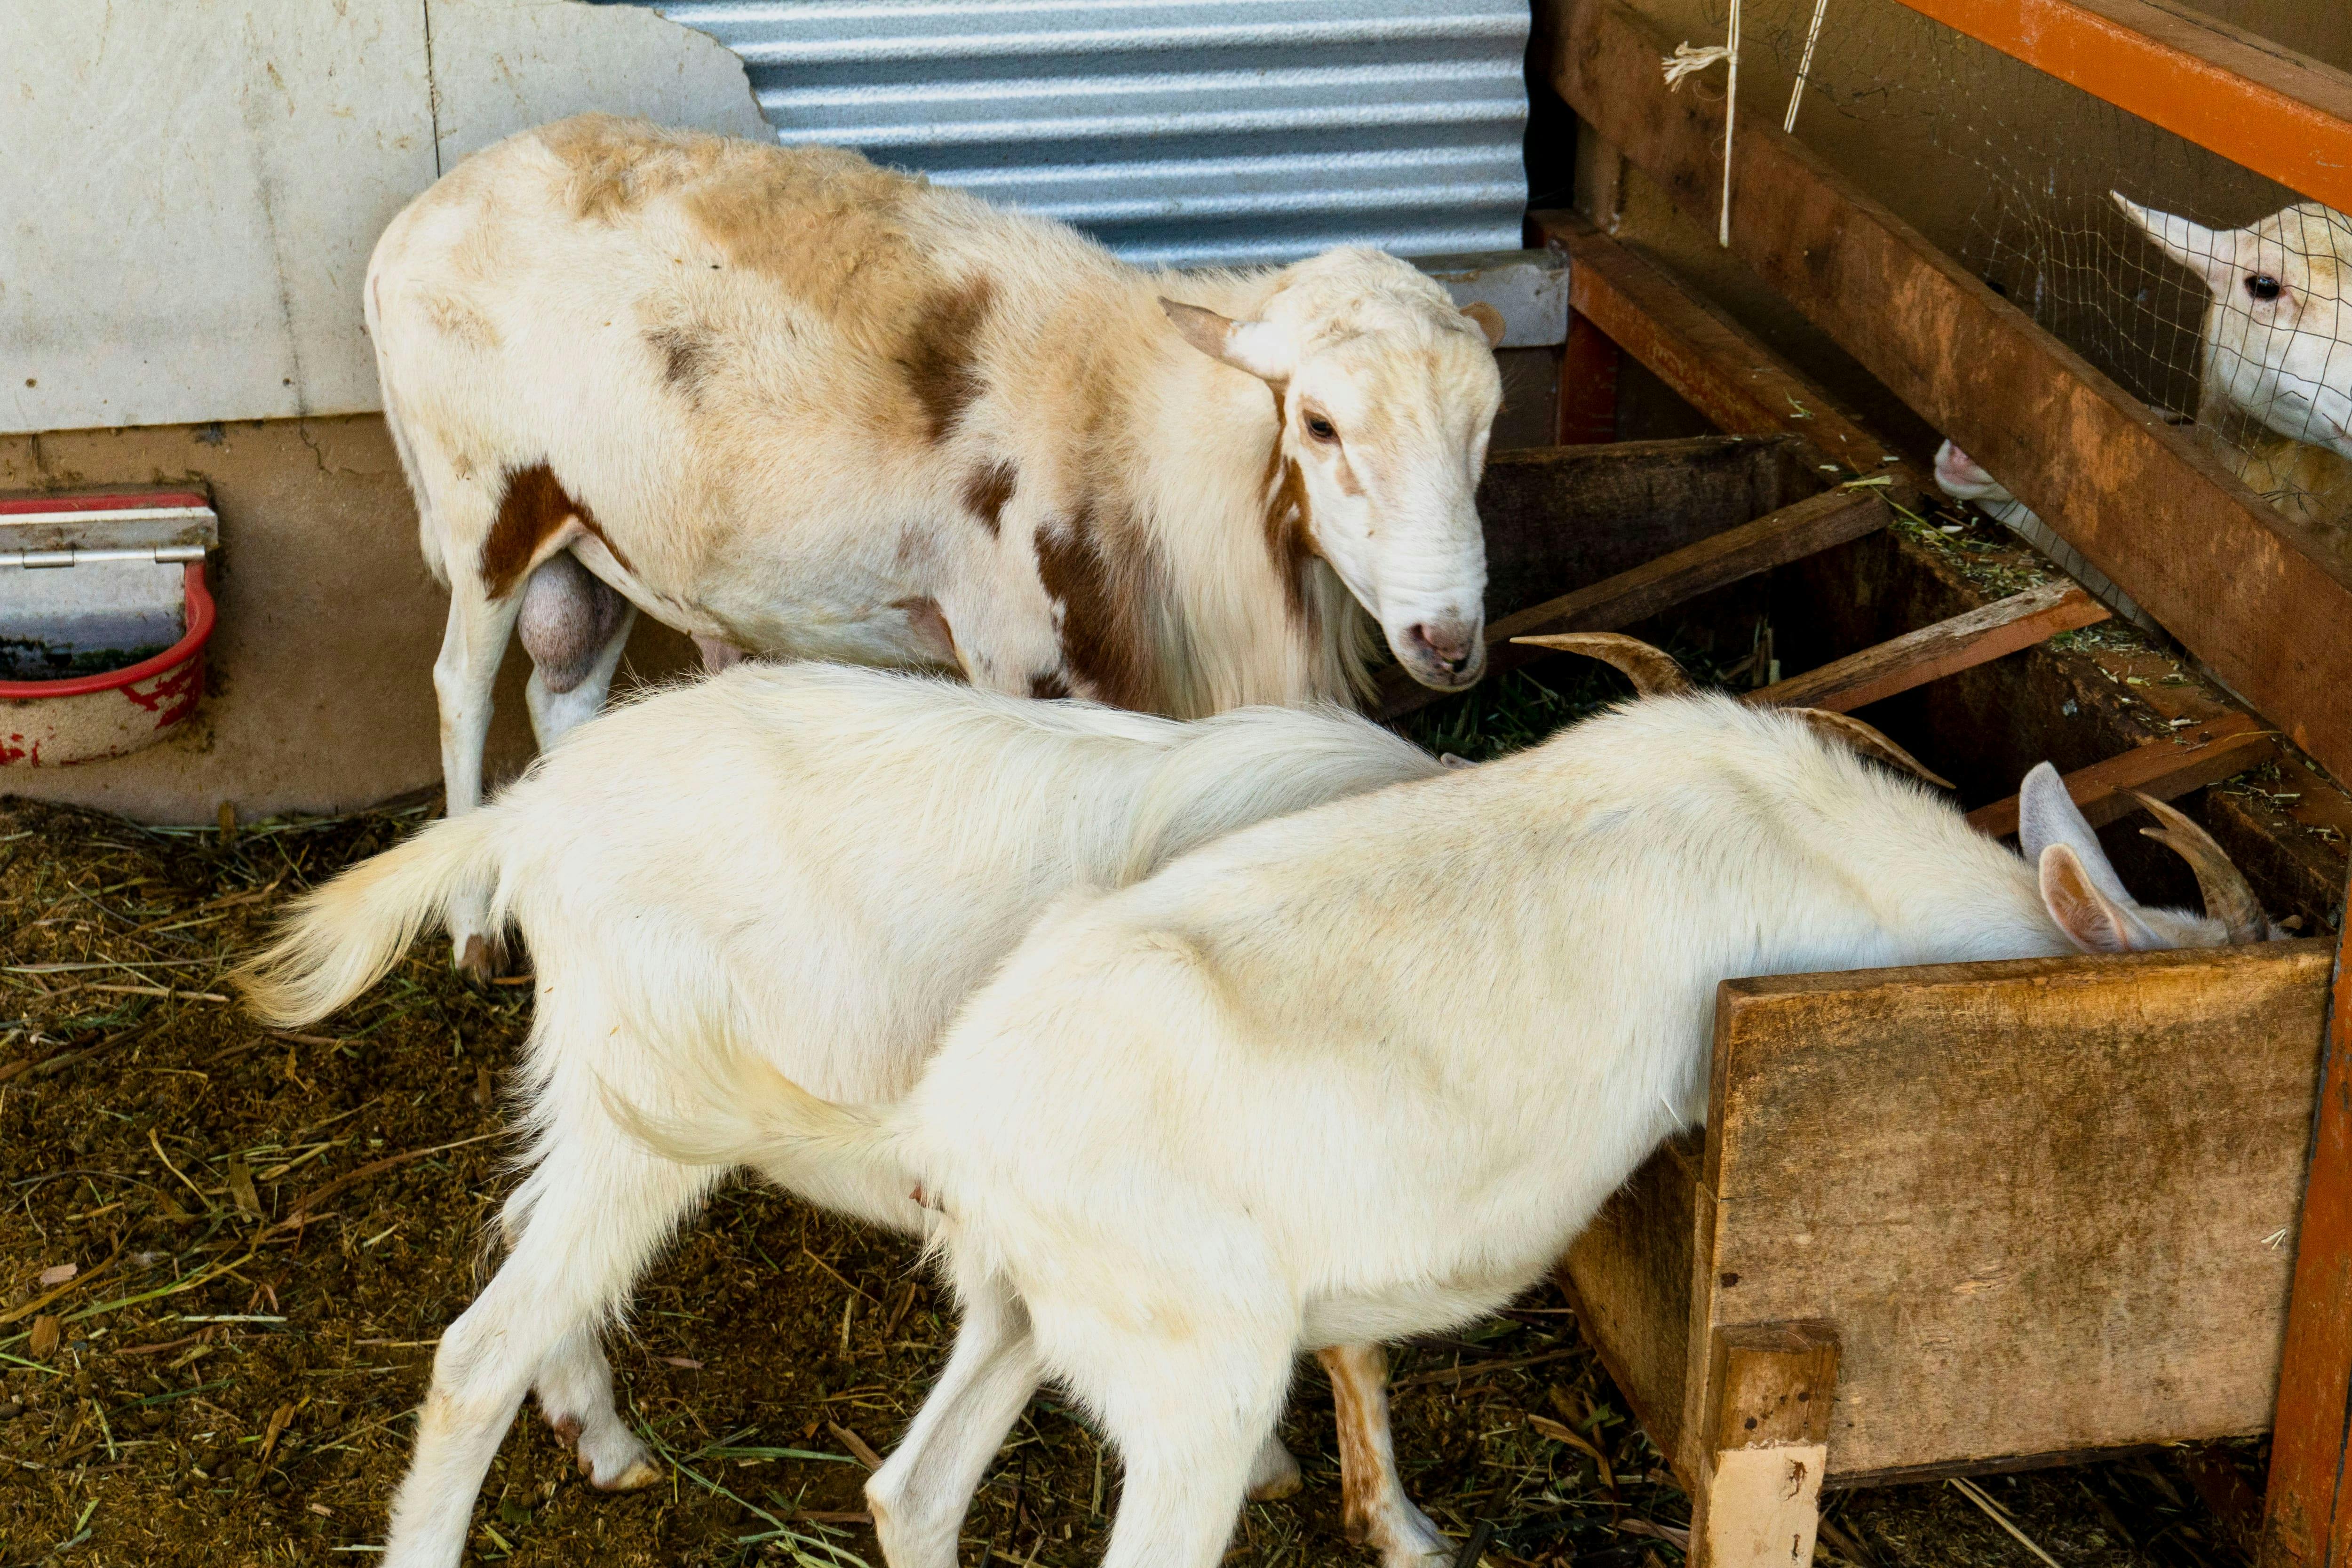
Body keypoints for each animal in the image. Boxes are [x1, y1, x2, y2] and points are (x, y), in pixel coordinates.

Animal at [243, 668, 1449, 1568]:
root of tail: (526, 814)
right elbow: (1352, 1342)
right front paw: (1383, 1515)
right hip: (649, 1094)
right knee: (478, 1349)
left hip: (600, 1087)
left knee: (527, 1237)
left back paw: (598, 1431)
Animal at [367, 116, 1505, 973]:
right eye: (1319, 424)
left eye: (1487, 428)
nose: (1449, 640)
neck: (1131, 435)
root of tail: (411, 224)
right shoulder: (1016, 654)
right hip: (481, 502)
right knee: (461, 689)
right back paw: (470, 925)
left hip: (595, 524)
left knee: (562, 696)